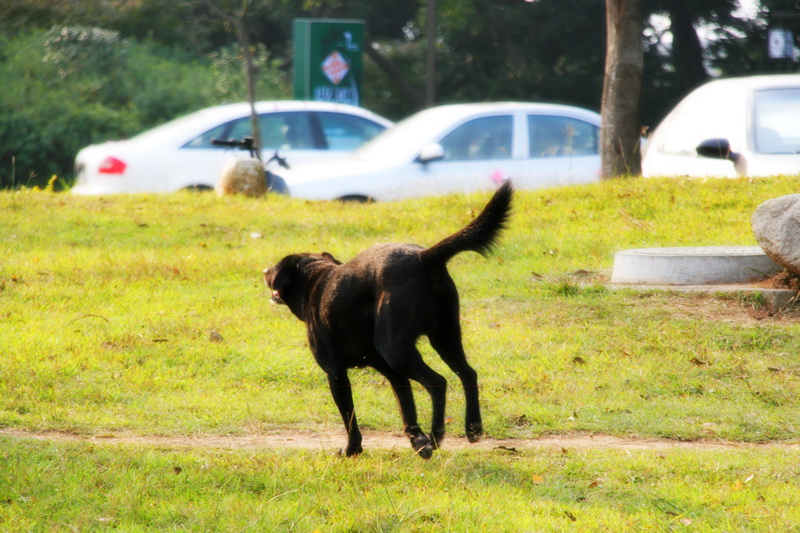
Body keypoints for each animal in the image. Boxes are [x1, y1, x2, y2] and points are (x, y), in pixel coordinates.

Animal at [262, 183, 512, 458]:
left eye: (274, 270)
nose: (264, 272)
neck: (316, 278)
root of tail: (424, 258)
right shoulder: (393, 374)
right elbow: (407, 409)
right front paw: (417, 440)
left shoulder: (336, 374)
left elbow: (350, 418)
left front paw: (352, 450)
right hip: (445, 336)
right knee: (468, 373)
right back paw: (472, 427)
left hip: (395, 349)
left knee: (438, 382)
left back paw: (437, 435)